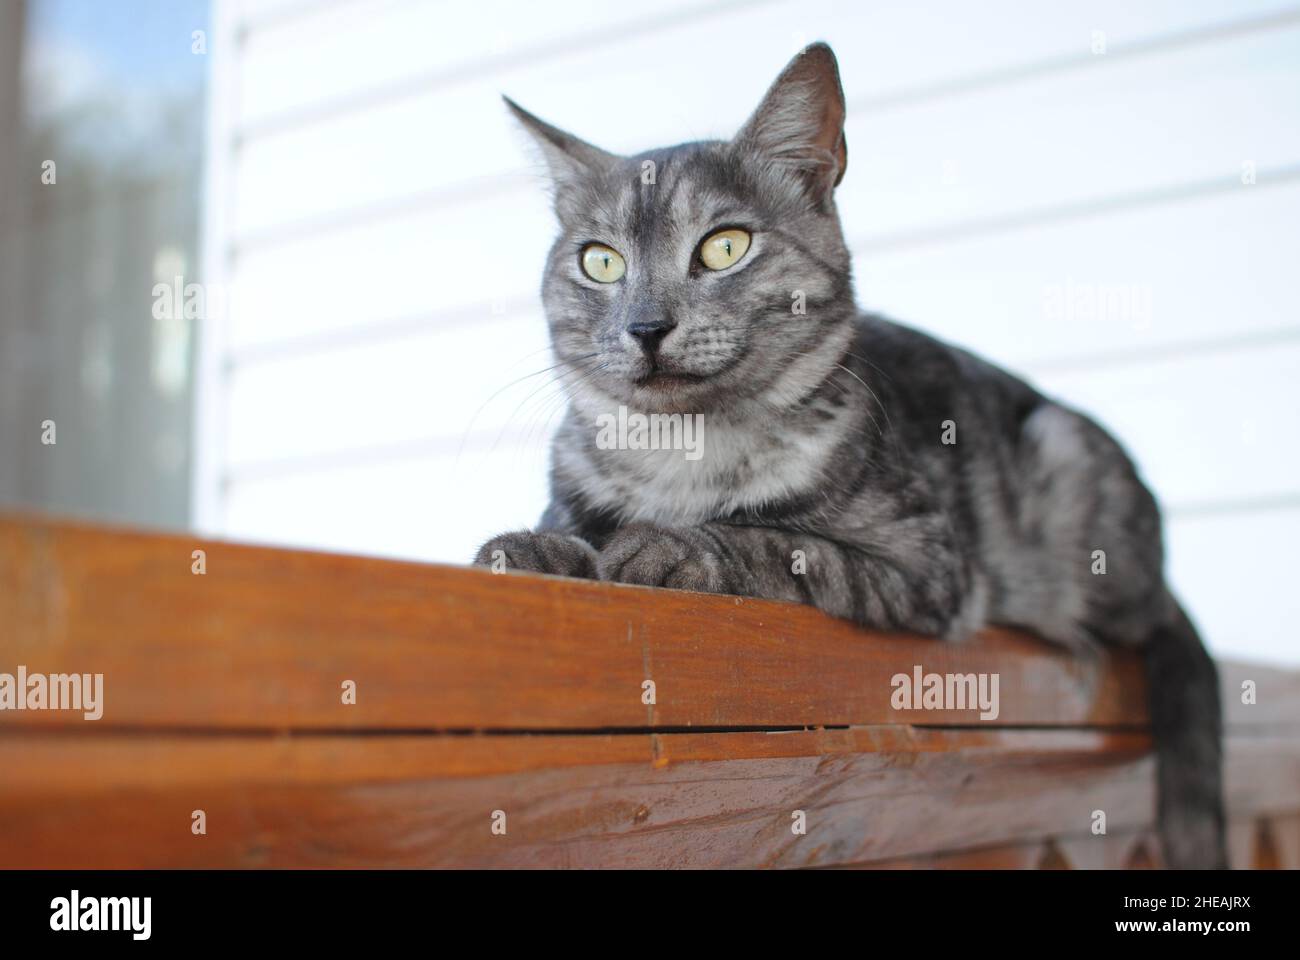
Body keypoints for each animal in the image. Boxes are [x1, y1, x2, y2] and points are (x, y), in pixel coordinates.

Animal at [480, 42, 1227, 868]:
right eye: (601, 263)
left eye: (725, 246)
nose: (645, 325)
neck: (683, 453)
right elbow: (567, 528)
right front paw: (536, 548)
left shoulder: (924, 564)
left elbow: (772, 541)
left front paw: (669, 548)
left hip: (1071, 480)